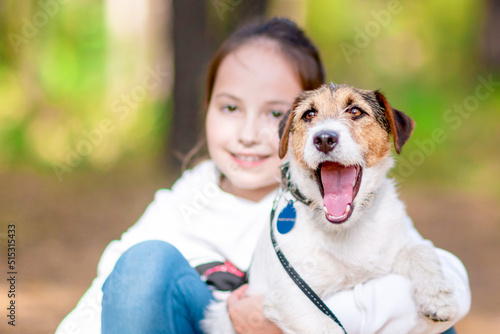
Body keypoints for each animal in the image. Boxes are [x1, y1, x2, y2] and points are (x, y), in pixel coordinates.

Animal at [201, 84, 458, 334]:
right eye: (309, 114)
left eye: (355, 111)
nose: (324, 138)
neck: (343, 230)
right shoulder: (290, 294)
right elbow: (328, 326)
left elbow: (421, 250)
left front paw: (438, 298)